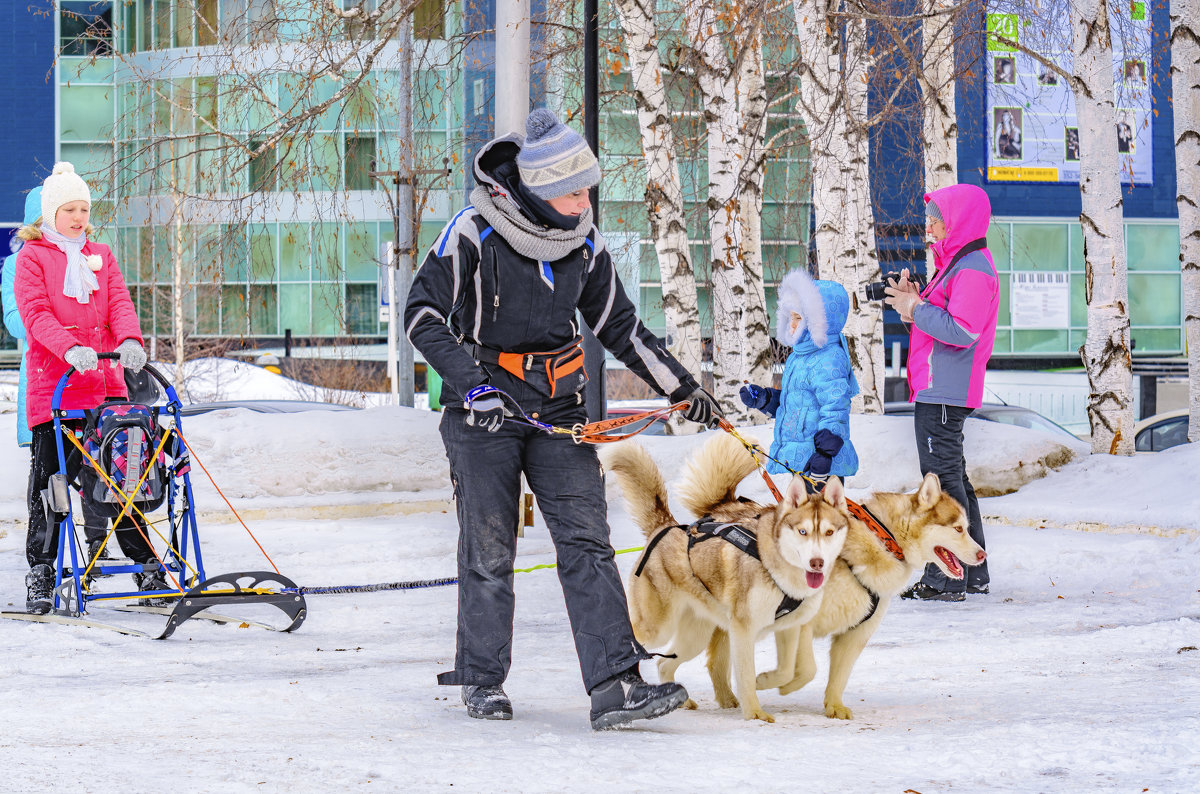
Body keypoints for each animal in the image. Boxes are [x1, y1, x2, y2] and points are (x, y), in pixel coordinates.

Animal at [604, 438, 849, 724]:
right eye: (802, 531)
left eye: (829, 532)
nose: (816, 562)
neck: (776, 567)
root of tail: (665, 526)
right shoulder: (743, 629)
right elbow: (745, 675)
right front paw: (754, 712)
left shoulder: (789, 627)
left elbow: (792, 670)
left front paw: (767, 681)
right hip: (657, 628)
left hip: (695, 636)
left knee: (664, 662)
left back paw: (677, 700)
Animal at [700, 470, 988, 724]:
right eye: (958, 528)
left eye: (966, 527)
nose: (982, 554)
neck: (883, 539)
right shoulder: (804, 622)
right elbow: (807, 669)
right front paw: (772, 684)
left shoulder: (856, 632)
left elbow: (838, 675)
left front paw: (834, 706)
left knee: (717, 660)